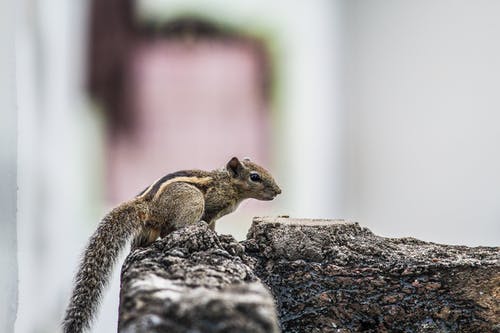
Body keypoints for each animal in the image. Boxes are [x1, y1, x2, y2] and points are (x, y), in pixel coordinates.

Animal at [62, 156, 282, 332]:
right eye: (255, 177)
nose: (279, 191)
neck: (227, 182)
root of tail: (147, 205)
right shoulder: (211, 207)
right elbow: (209, 223)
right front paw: (217, 236)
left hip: (149, 229)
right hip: (192, 200)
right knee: (177, 227)